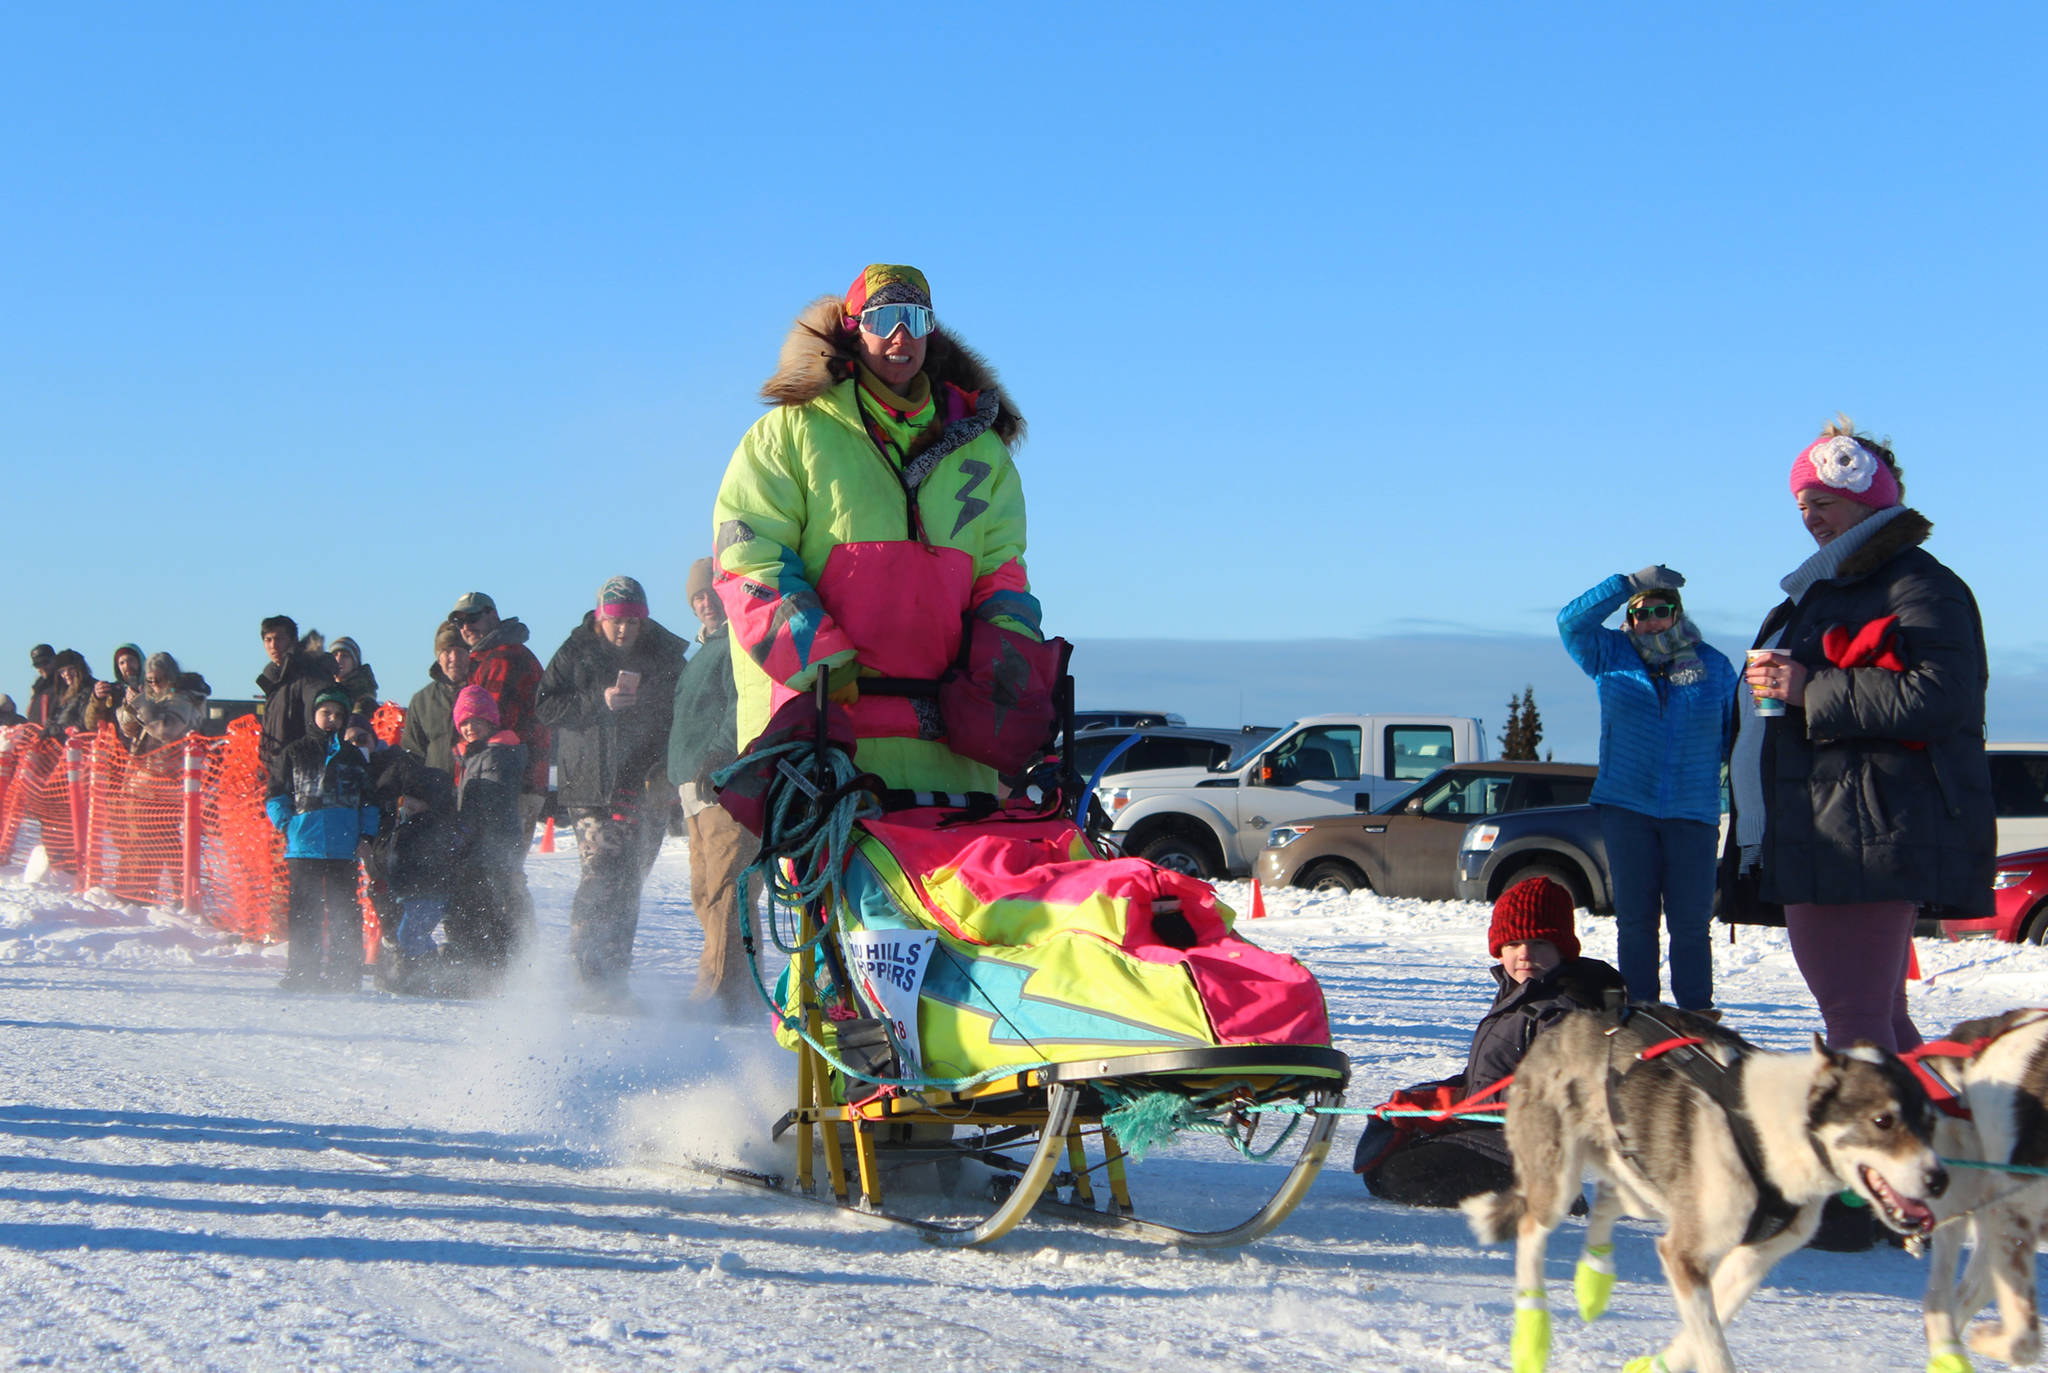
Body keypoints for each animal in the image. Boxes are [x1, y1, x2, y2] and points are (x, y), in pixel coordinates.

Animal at [1466, 1000, 1941, 1373]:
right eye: (1883, 1120)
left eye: (1930, 1122)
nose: (1939, 1179)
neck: (1773, 1132)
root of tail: (1566, 1022)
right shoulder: (1685, 1253)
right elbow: (1711, 1343)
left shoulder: (1750, 1256)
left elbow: (1710, 1322)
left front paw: (1659, 1363)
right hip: (1559, 1181)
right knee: (1532, 1229)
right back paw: (1532, 1333)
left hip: (1644, 1182)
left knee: (1609, 1199)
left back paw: (1593, 1281)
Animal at [1916, 1004, 2048, 1368]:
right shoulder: (2014, 1212)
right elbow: (2025, 1340)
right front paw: (1986, 1338)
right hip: (1964, 1201)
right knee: (1937, 1303)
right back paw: (1950, 1353)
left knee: (1961, 1299)